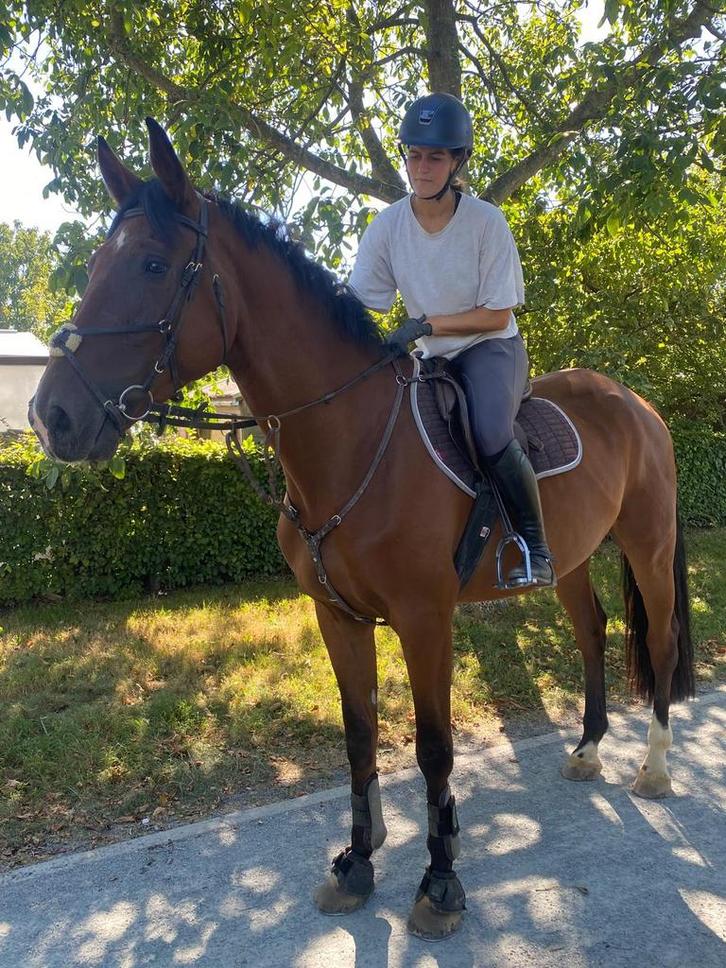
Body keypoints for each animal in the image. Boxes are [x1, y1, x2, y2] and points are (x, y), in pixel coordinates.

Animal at [29, 119, 693, 941]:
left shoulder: (425, 619)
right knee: (592, 631)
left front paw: (440, 883)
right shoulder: (337, 618)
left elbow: (434, 749)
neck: (353, 441)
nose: (51, 417)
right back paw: (589, 749)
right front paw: (356, 863)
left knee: (659, 642)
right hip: (568, 560)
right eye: (96, 263)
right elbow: (358, 737)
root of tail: (634, 403)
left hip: (649, 546)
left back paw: (654, 768)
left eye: (153, 264)